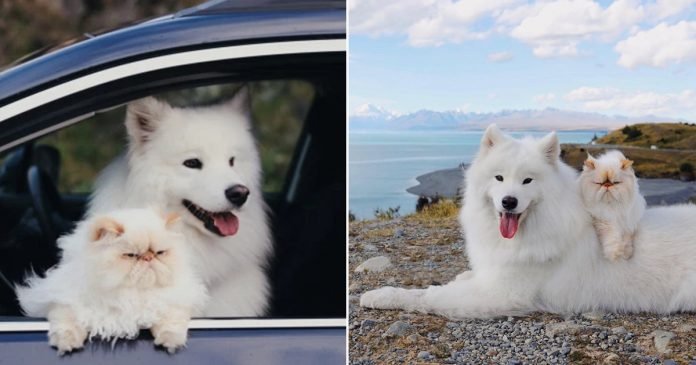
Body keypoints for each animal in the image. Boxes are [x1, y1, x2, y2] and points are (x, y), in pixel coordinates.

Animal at [16, 209, 207, 354]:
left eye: (159, 253)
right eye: (131, 255)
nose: (148, 257)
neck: (130, 295)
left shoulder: (175, 302)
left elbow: (172, 321)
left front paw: (170, 342)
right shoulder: (63, 300)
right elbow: (66, 321)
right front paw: (66, 343)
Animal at [362, 124, 696, 316]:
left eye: (527, 181)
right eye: (499, 178)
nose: (509, 201)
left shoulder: (501, 294)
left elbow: (428, 295)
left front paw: (380, 296)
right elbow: (464, 277)